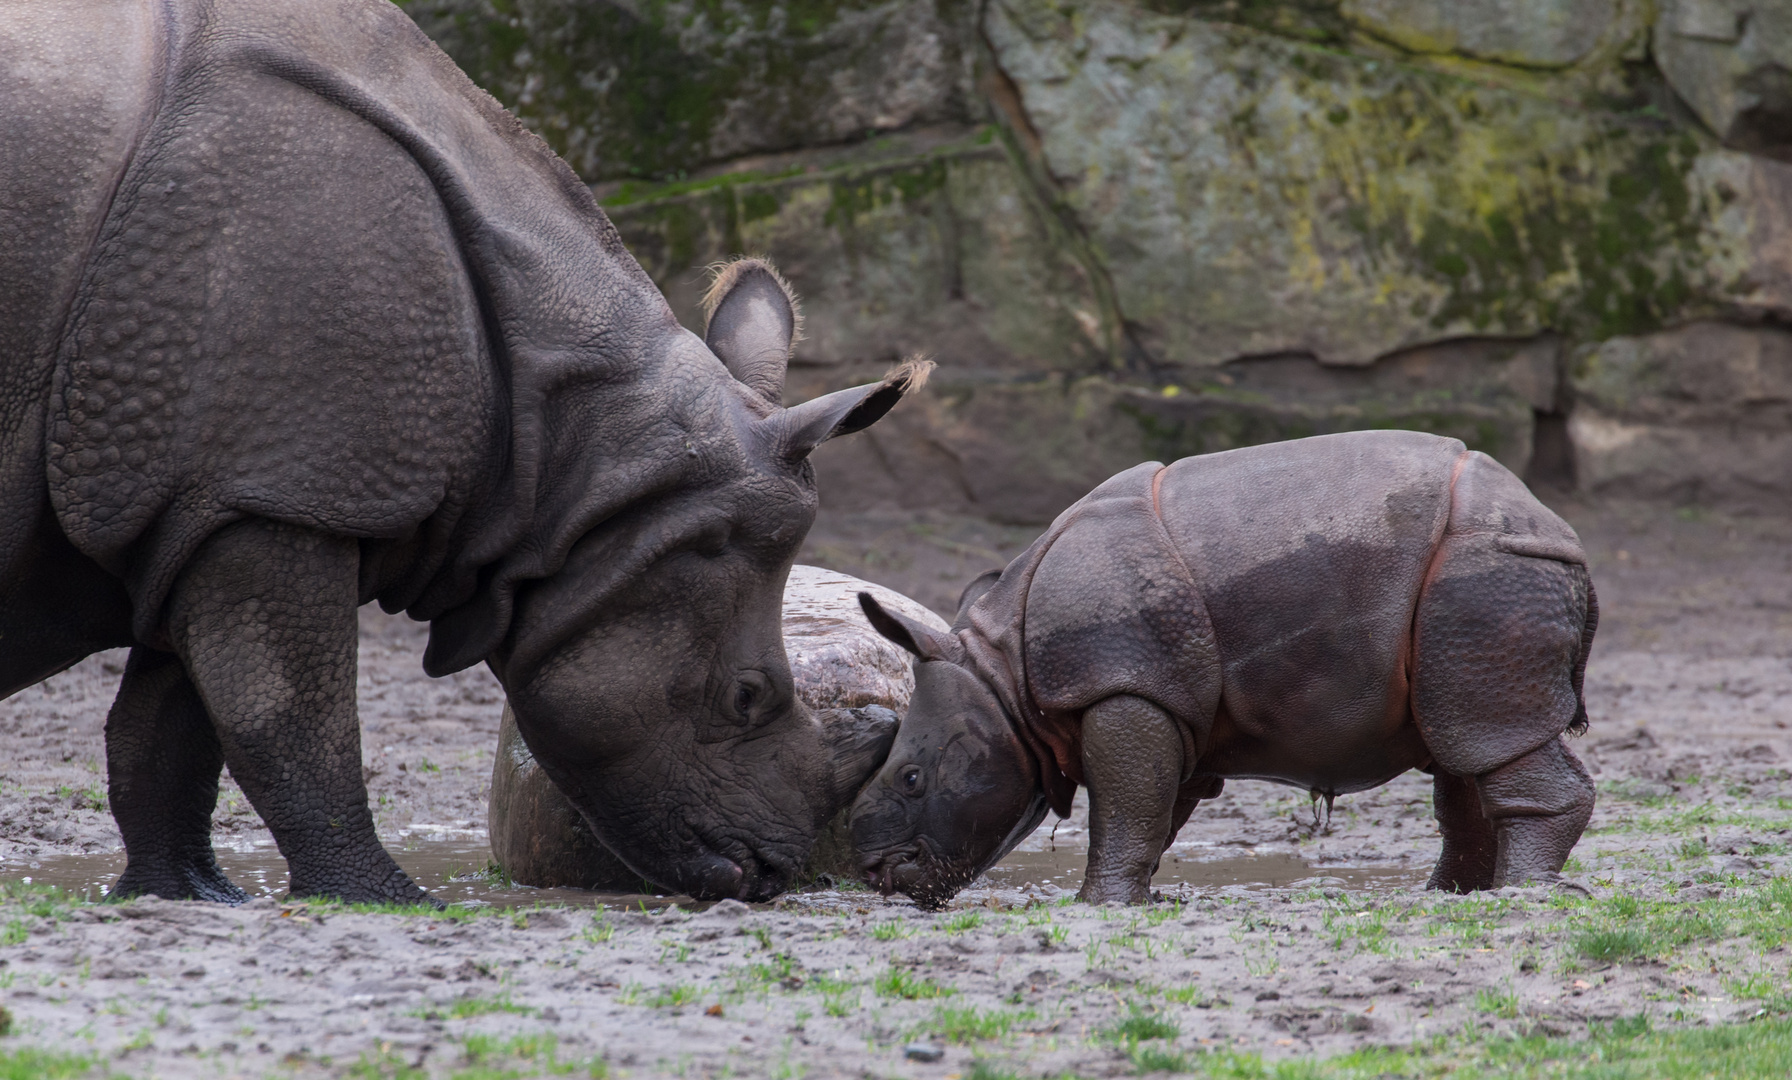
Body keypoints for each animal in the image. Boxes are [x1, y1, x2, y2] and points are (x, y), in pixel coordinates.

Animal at [0, 0, 917, 909]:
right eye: (747, 696)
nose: (772, 871)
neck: (586, 453)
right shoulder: (275, 493)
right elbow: (287, 715)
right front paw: (383, 898)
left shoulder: (217, 492)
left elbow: (173, 718)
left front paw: (186, 895)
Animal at [849, 435, 1598, 909]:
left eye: (912, 778)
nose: (876, 872)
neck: (1006, 678)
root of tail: (1561, 535)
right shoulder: (1167, 697)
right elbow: (1152, 807)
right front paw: (1138, 896)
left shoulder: (1126, 685)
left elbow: (1123, 807)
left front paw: (1096, 905)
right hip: (1477, 586)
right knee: (1465, 743)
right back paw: (1451, 896)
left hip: (1486, 574)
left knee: (1485, 729)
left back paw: (1518, 895)